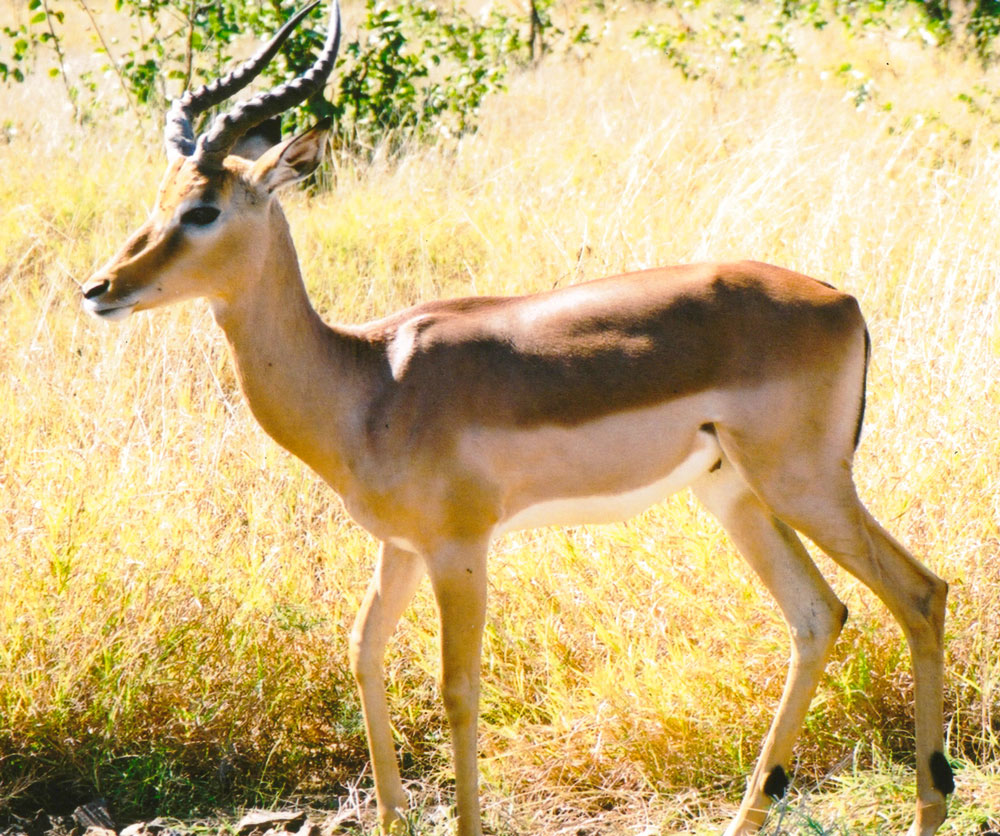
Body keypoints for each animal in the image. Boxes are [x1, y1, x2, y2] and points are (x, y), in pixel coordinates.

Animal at [81, 2, 953, 834]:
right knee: (817, 615)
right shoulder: (400, 547)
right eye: (158, 199)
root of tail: (844, 302)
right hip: (734, 495)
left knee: (920, 592)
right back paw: (750, 818)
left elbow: (457, 688)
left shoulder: (461, 549)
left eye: (203, 210)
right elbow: (364, 652)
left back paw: (928, 808)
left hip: (806, 485)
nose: (100, 287)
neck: (367, 381)